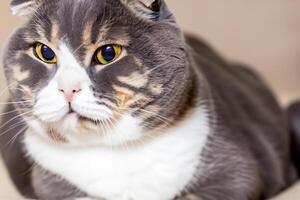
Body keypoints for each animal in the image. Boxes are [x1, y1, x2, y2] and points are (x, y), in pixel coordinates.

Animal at [0, 0, 298, 199]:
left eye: (108, 53)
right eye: (45, 52)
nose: (68, 89)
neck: (116, 152)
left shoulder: (235, 172)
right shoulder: (51, 185)